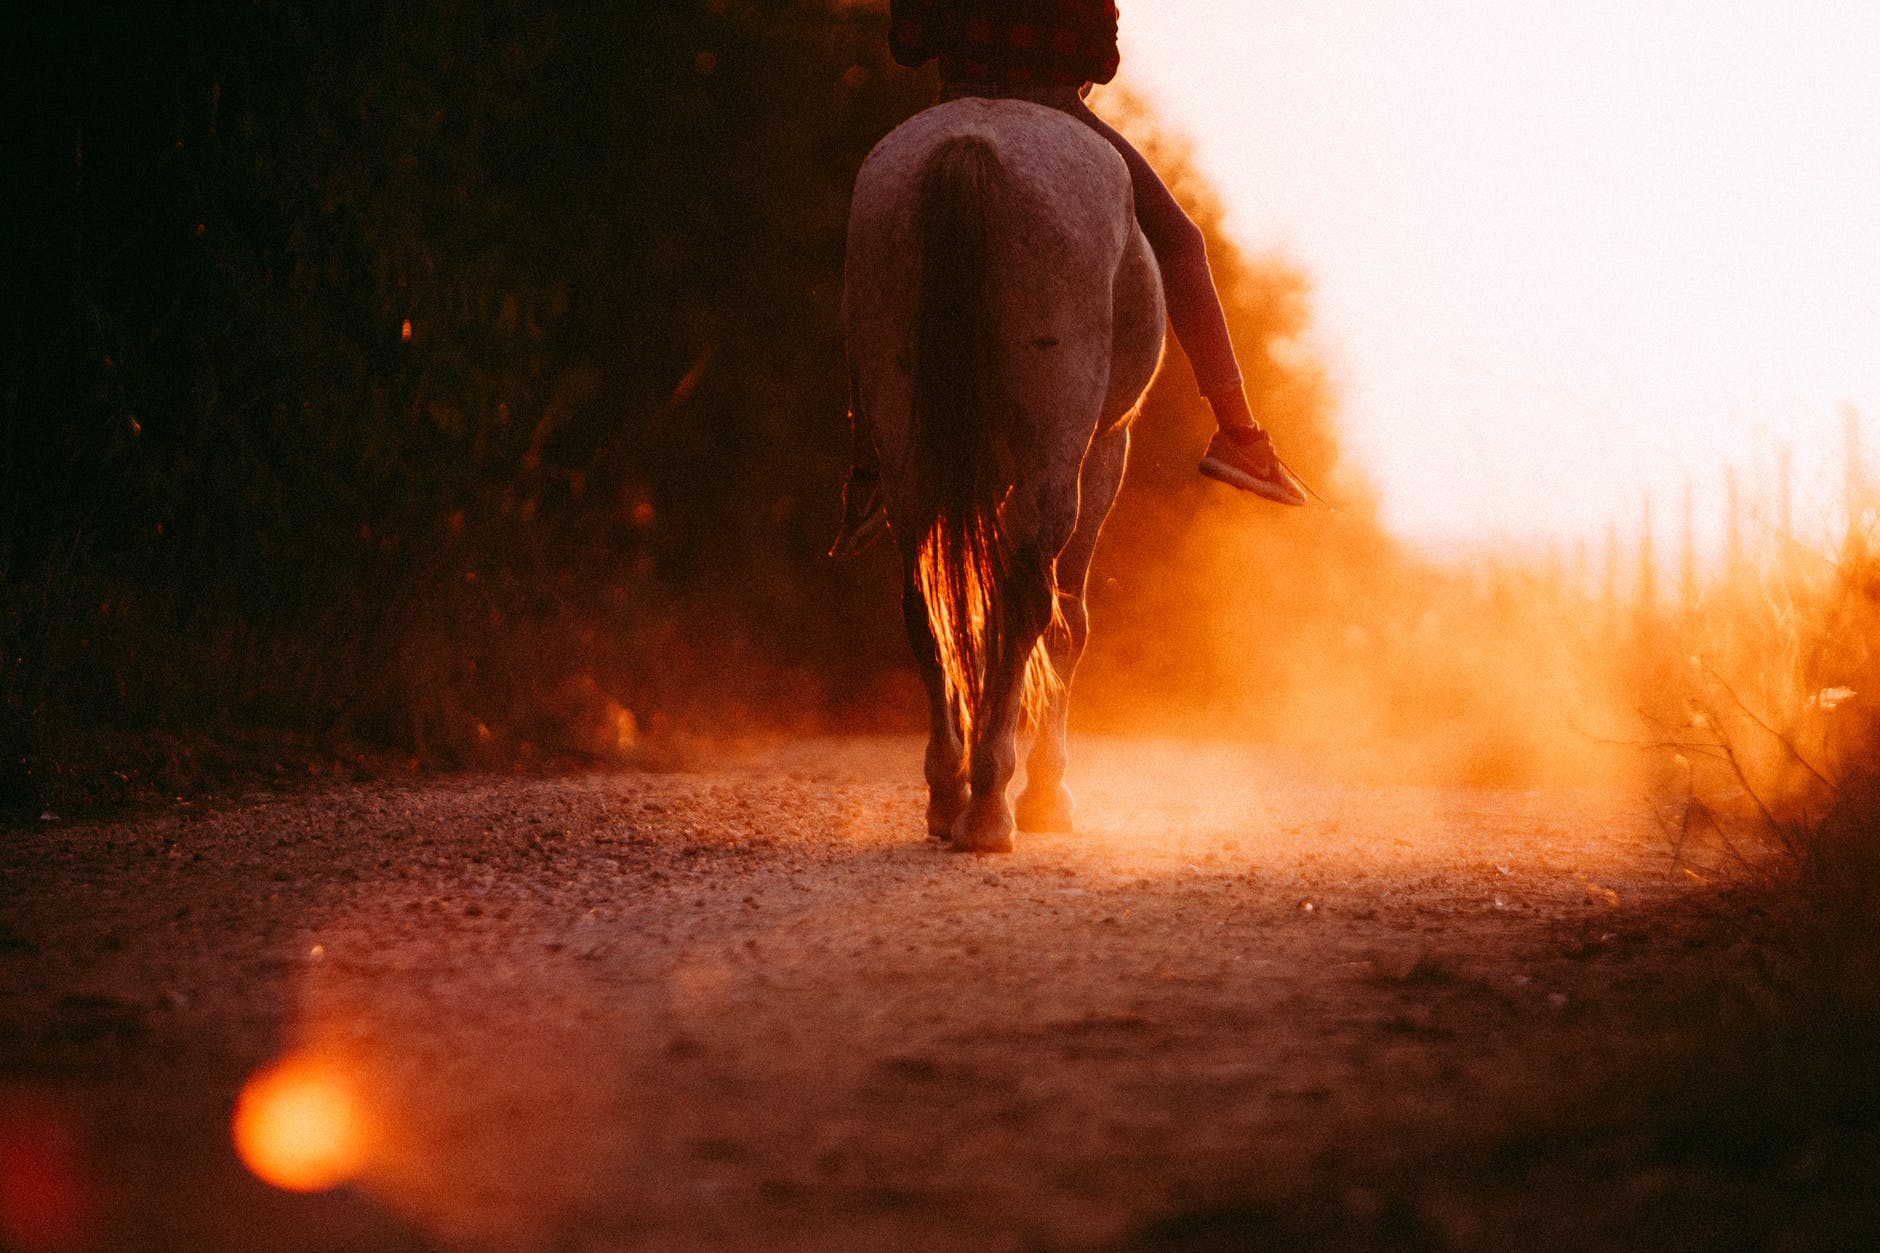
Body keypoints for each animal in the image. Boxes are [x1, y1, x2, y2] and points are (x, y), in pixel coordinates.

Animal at [844, 97, 1167, 853]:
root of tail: (971, 145)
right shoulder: (1104, 453)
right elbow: (1068, 622)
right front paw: (1050, 794)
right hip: (1058, 451)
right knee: (1029, 603)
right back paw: (991, 803)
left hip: (908, 451)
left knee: (922, 601)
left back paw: (947, 794)